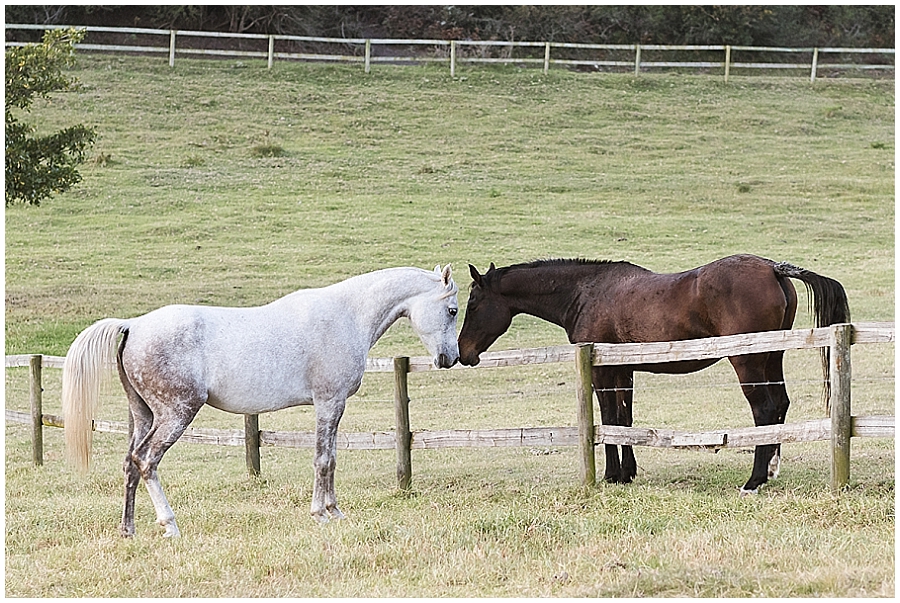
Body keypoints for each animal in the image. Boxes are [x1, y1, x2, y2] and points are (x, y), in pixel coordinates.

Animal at [62, 265, 460, 537]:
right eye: (453, 310)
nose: (450, 358)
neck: (346, 315)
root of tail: (134, 324)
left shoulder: (332, 407)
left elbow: (330, 459)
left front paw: (334, 512)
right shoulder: (329, 403)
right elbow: (323, 460)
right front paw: (322, 514)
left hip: (144, 415)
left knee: (130, 464)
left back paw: (128, 529)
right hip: (175, 415)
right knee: (146, 461)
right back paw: (170, 525)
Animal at [457, 254, 850, 495]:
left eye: (472, 303)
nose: (463, 352)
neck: (586, 292)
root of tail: (772, 269)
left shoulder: (602, 371)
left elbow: (609, 418)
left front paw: (611, 475)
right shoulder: (623, 370)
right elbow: (624, 420)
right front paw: (627, 473)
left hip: (747, 361)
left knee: (765, 410)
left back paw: (753, 479)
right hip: (770, 358)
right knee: (780, 405)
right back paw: (770, 471)